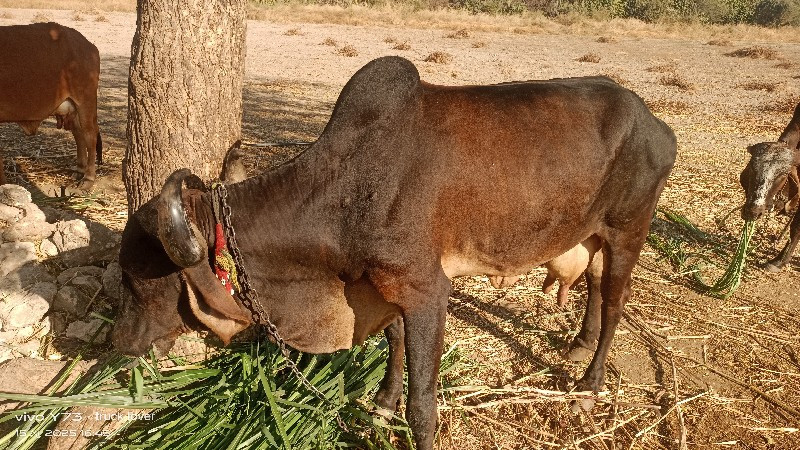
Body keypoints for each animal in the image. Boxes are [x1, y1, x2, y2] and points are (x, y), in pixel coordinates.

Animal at [112, 58, 676, 448]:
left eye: (138, 279)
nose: (122, 344)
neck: (346, 190)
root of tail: (657, 125)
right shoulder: (389, 290)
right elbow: (395, 344)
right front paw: (382, 403)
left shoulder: (427, 290)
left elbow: (423, 404)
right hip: (593, 236)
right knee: (596, 286)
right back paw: (578, 346)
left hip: (629, 231)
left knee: (616, 304)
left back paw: (589, 385)